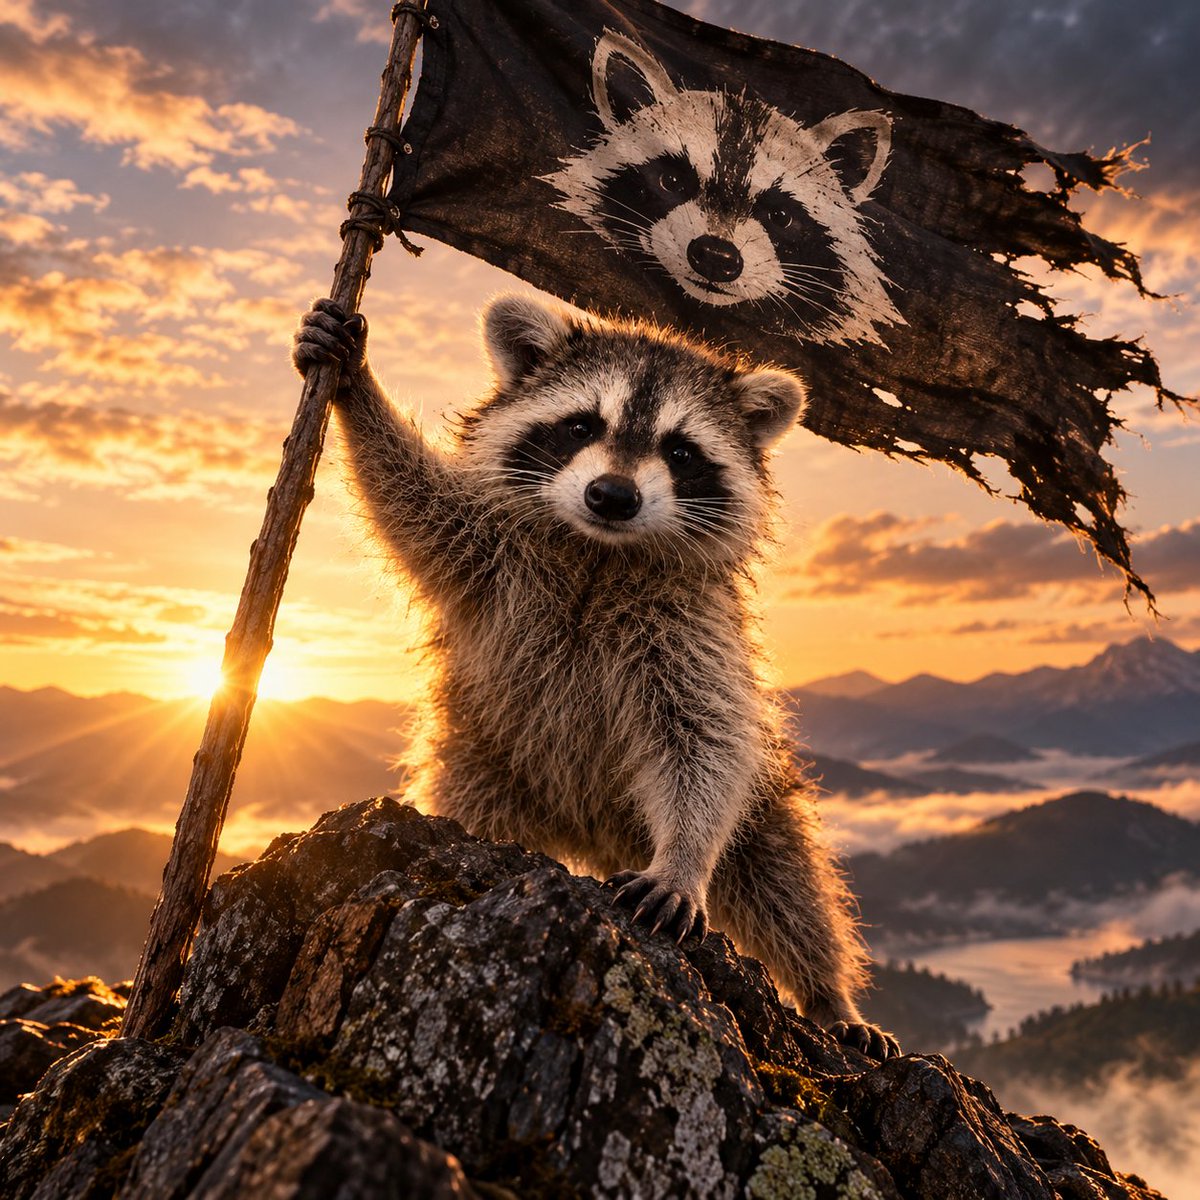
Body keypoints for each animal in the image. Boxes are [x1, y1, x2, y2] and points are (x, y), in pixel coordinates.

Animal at [292, 292, 899, 1059]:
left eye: (680, 449)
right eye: (583, 424)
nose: (613, 495)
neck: (598, 553)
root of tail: (595, 839)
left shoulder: (689, 630)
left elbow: (705, 740)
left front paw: (683, 859)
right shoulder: (494, 557)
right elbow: (414, 502)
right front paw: (358, 391)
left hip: (764, 811)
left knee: (791, 886)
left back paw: (827, 993)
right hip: (486, 771)